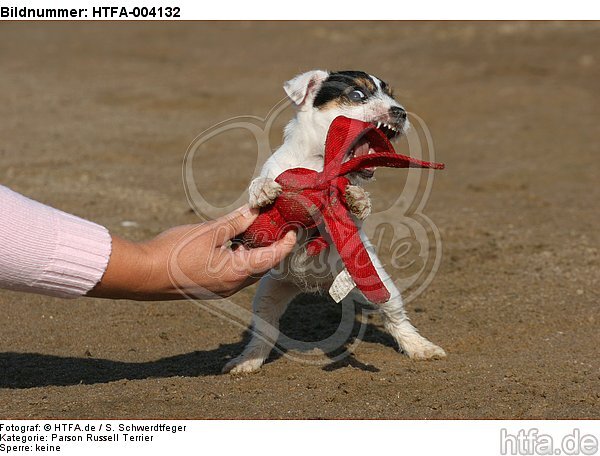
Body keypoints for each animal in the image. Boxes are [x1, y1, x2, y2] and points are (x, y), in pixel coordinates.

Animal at [224, 69, 446, 372]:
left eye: (392, 95)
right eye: (357, 94)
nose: (400, 112)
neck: (319, 162)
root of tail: (316, 284)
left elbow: (350, 208)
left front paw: (358, 199)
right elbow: (262, 185)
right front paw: (262, 189)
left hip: (378, 283)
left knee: (395, 318)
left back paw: (420, 347)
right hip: (269, 294)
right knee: (264, 332)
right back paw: (248, 360)